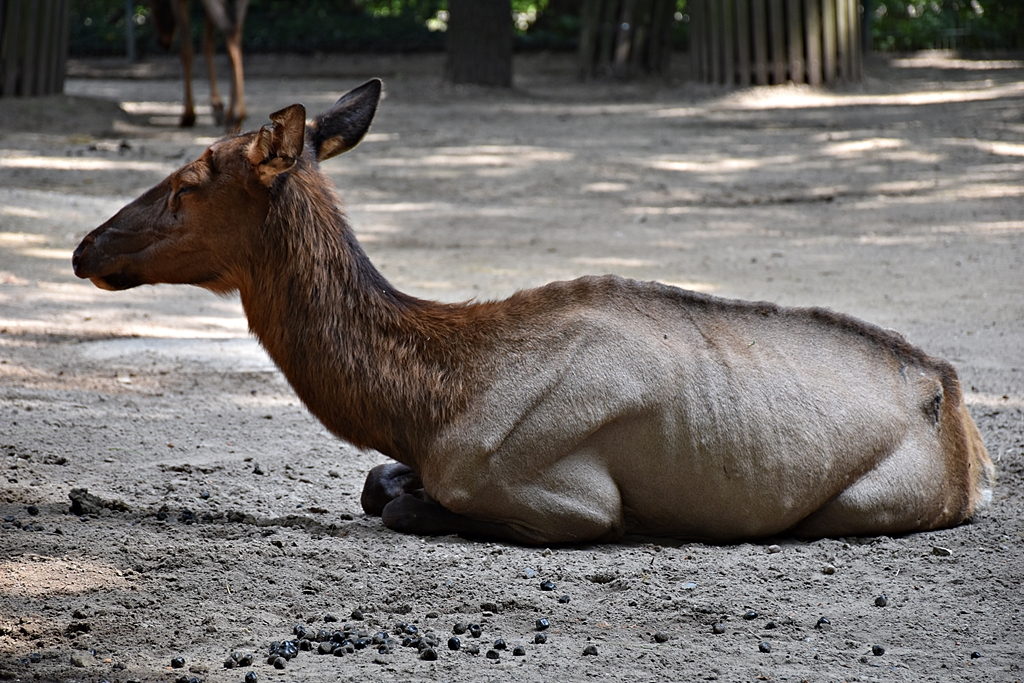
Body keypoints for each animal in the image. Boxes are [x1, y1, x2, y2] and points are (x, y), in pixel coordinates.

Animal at [72, 80, 995, 545]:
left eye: (190, 182)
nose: (85, 247)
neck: (429, 405)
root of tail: (963, 422)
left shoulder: (569, 498)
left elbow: (403, 504)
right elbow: (376, 484)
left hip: (869, 501)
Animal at [151, 0, 248, 132]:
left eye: (151, 6)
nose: (163, 42)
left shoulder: (180, 2)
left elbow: (187, 52)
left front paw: (188, 116)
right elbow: (208, 46)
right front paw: (217, 107)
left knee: (231, 34)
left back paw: (236, 117)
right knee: (236, 35)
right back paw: (233, 115)